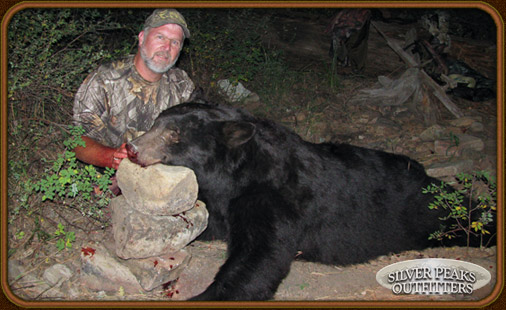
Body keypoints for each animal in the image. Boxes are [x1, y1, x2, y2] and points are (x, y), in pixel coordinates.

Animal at [125, 103, 490, 300]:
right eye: (155, 123)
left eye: (173, 134)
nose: (132, 147)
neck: (239, 173)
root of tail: (426, 175)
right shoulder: (224, 199)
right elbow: (209, 224)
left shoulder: (279, 198)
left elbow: (262, 254)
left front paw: (210, 294)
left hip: (429, 209)